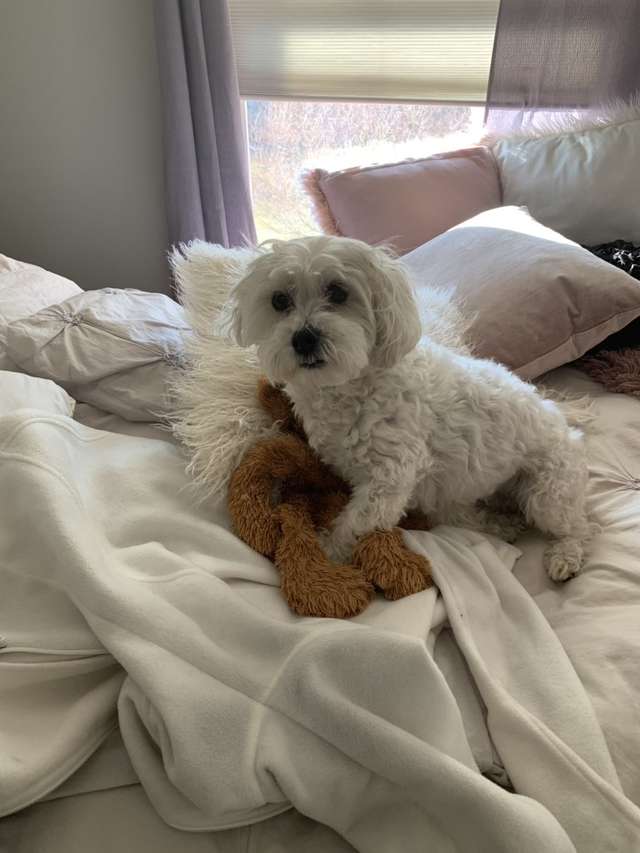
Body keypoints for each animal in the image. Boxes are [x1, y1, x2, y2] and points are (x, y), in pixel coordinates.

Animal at [228, 235, 592, 580]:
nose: (304, 339)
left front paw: (324, 558)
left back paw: (565, 555)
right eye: (279, 300)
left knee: (578, 526)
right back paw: (502, 525)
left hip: (548, 492)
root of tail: (566, 427)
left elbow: (354, 524)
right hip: (453, 491)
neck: (352, 386)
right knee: (465, 516)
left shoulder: (390, 476)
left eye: (338, 292)